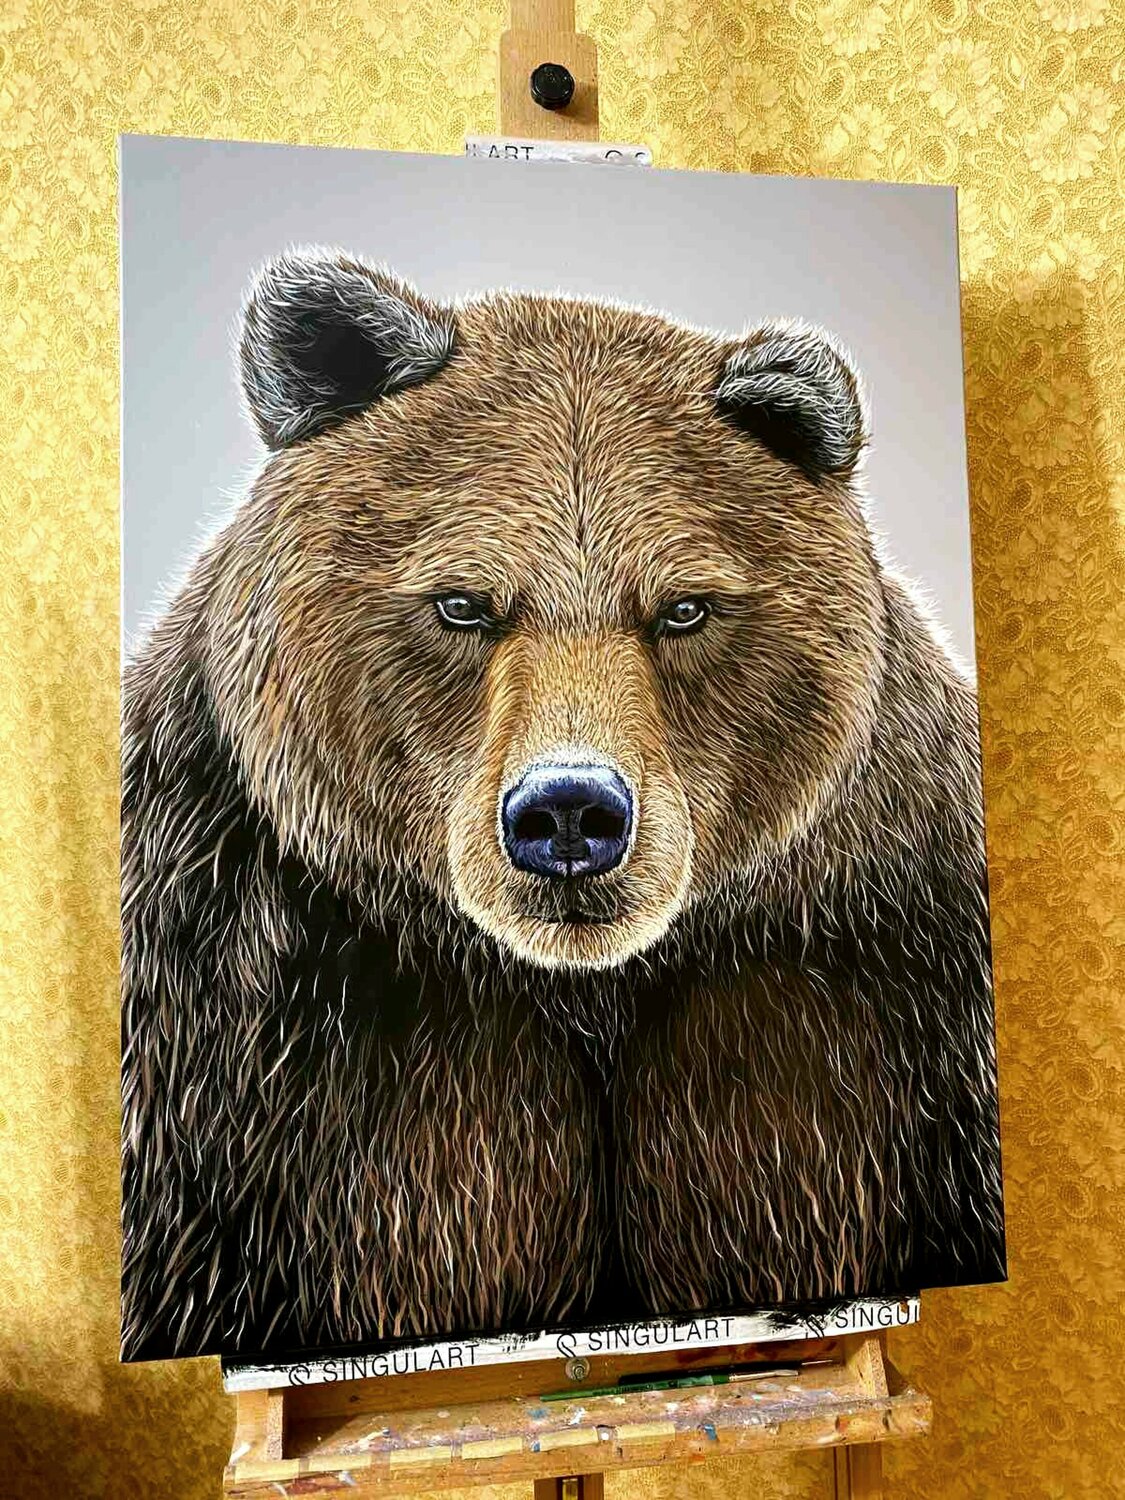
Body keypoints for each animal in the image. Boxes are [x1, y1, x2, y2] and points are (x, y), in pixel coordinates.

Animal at [120, 248, 1006, 1361]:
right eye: (462, 602)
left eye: (683, 607)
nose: (571, 815)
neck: (587, 992)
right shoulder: (235, 1036)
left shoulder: (887, 1000)